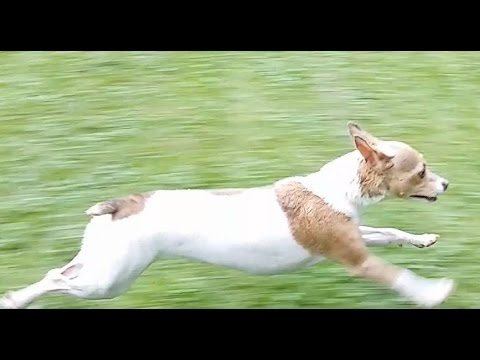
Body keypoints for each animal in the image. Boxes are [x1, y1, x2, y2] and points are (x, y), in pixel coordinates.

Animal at [0, 122, 454, 308]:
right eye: (422, 171)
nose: (447, 184)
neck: (340, 188)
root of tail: (122, 203)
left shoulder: (356, 238)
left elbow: (391, 231)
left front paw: (422, 240)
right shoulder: (357, 261)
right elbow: (401, 278)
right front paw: (434, 293)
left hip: (102, 266)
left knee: (58, 273)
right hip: (108, 281)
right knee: (56, 279)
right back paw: (16, 300)